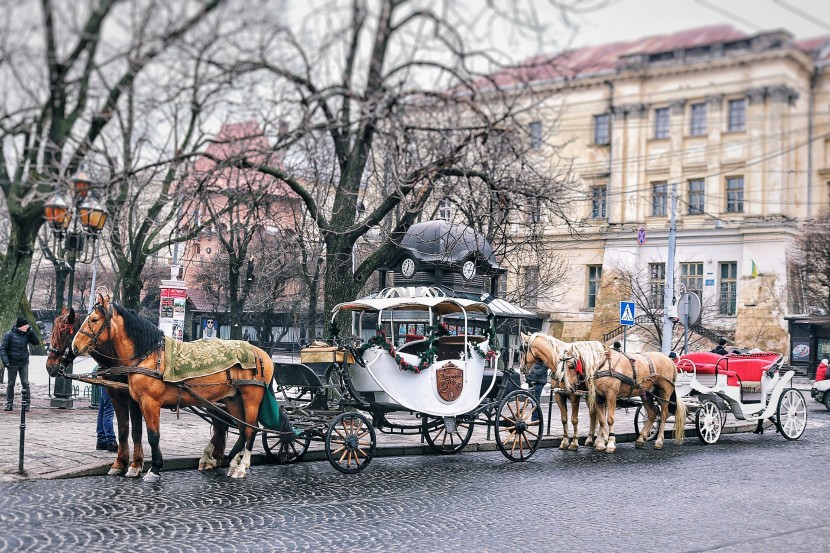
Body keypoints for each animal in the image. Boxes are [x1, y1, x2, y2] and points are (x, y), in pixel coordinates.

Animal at [71, 296, 280, 480]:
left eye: (94, 319)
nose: (74, 346)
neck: (148, 355)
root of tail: (261, 353)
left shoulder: (149, 402)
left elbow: (152, 435)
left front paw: (154, 468)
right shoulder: (133, 401)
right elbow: (131, 431)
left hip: (251, 398)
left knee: (251, 430)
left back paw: (241, 467)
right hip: (233, 399)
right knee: (241, 429)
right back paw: (229, 462)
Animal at [560, 340, 688, 452]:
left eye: (571, 366)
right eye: (562, 366)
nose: (569, 389)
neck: (603, 364)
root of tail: (669, 360)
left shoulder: (611, 395)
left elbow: (610, 419)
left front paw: (610, 443)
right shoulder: (599, 397)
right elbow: (601, 420)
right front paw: (600, 444)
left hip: (664, 393)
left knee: (663, 414)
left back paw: (659, 442)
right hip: (646, 393)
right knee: (653, 412)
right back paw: (640, 439)